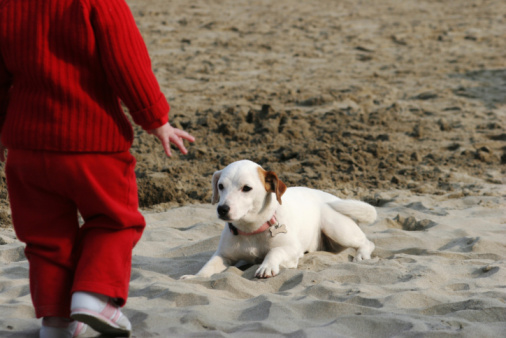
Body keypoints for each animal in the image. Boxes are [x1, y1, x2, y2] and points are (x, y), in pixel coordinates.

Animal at [182, 160, 376, 278]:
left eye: (246, 188)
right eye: (221, 186)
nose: (222, 209)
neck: (252, 229)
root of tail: (331, 196)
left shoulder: (292, 249)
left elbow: (274, 252)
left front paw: (266, 266)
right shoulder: (223, 255)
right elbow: (208, 267)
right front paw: (195, 277)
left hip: (335, 227)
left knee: (367, 242)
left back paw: (362, 255)